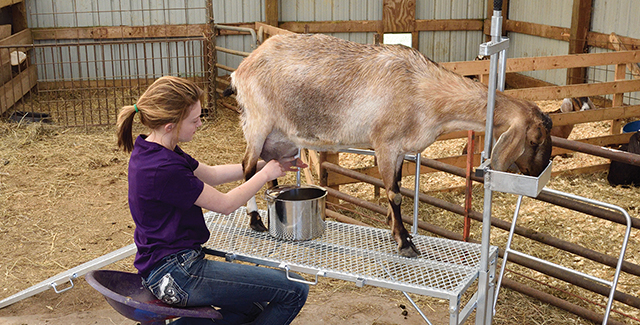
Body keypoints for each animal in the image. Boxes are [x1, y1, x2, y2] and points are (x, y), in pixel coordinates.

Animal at [228, 34, 552, 256]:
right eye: (534, 140)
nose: (536, 174)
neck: (424, 90)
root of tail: (241, 67)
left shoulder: (400, 150)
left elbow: (398, 188)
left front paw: (395, 229)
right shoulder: (385, 144)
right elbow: (394, 194)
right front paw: (404, 241)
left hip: (280, 137)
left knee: (266, 168)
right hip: (258, 121)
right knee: (247, 166)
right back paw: (255, 219)